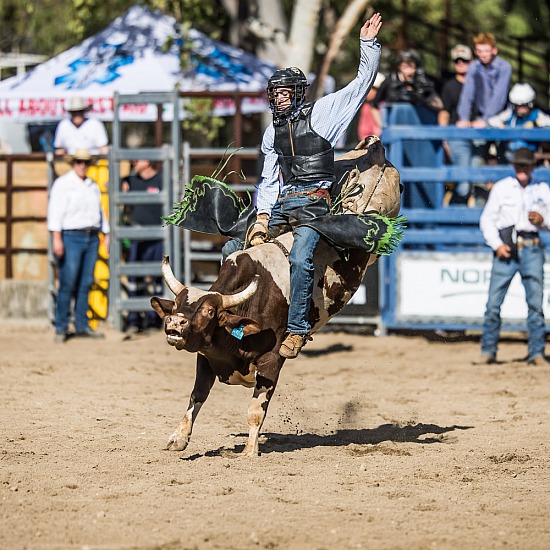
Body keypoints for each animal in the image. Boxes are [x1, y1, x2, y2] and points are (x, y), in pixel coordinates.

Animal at [153, 137, 404, 458]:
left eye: (209, 312)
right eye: (179, 304)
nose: (175, 324)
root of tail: (376, 150)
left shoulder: (271, 361)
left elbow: (255, 411)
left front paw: (250, 451)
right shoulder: (206, 357)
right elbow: (196, 396)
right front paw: (179, 438)